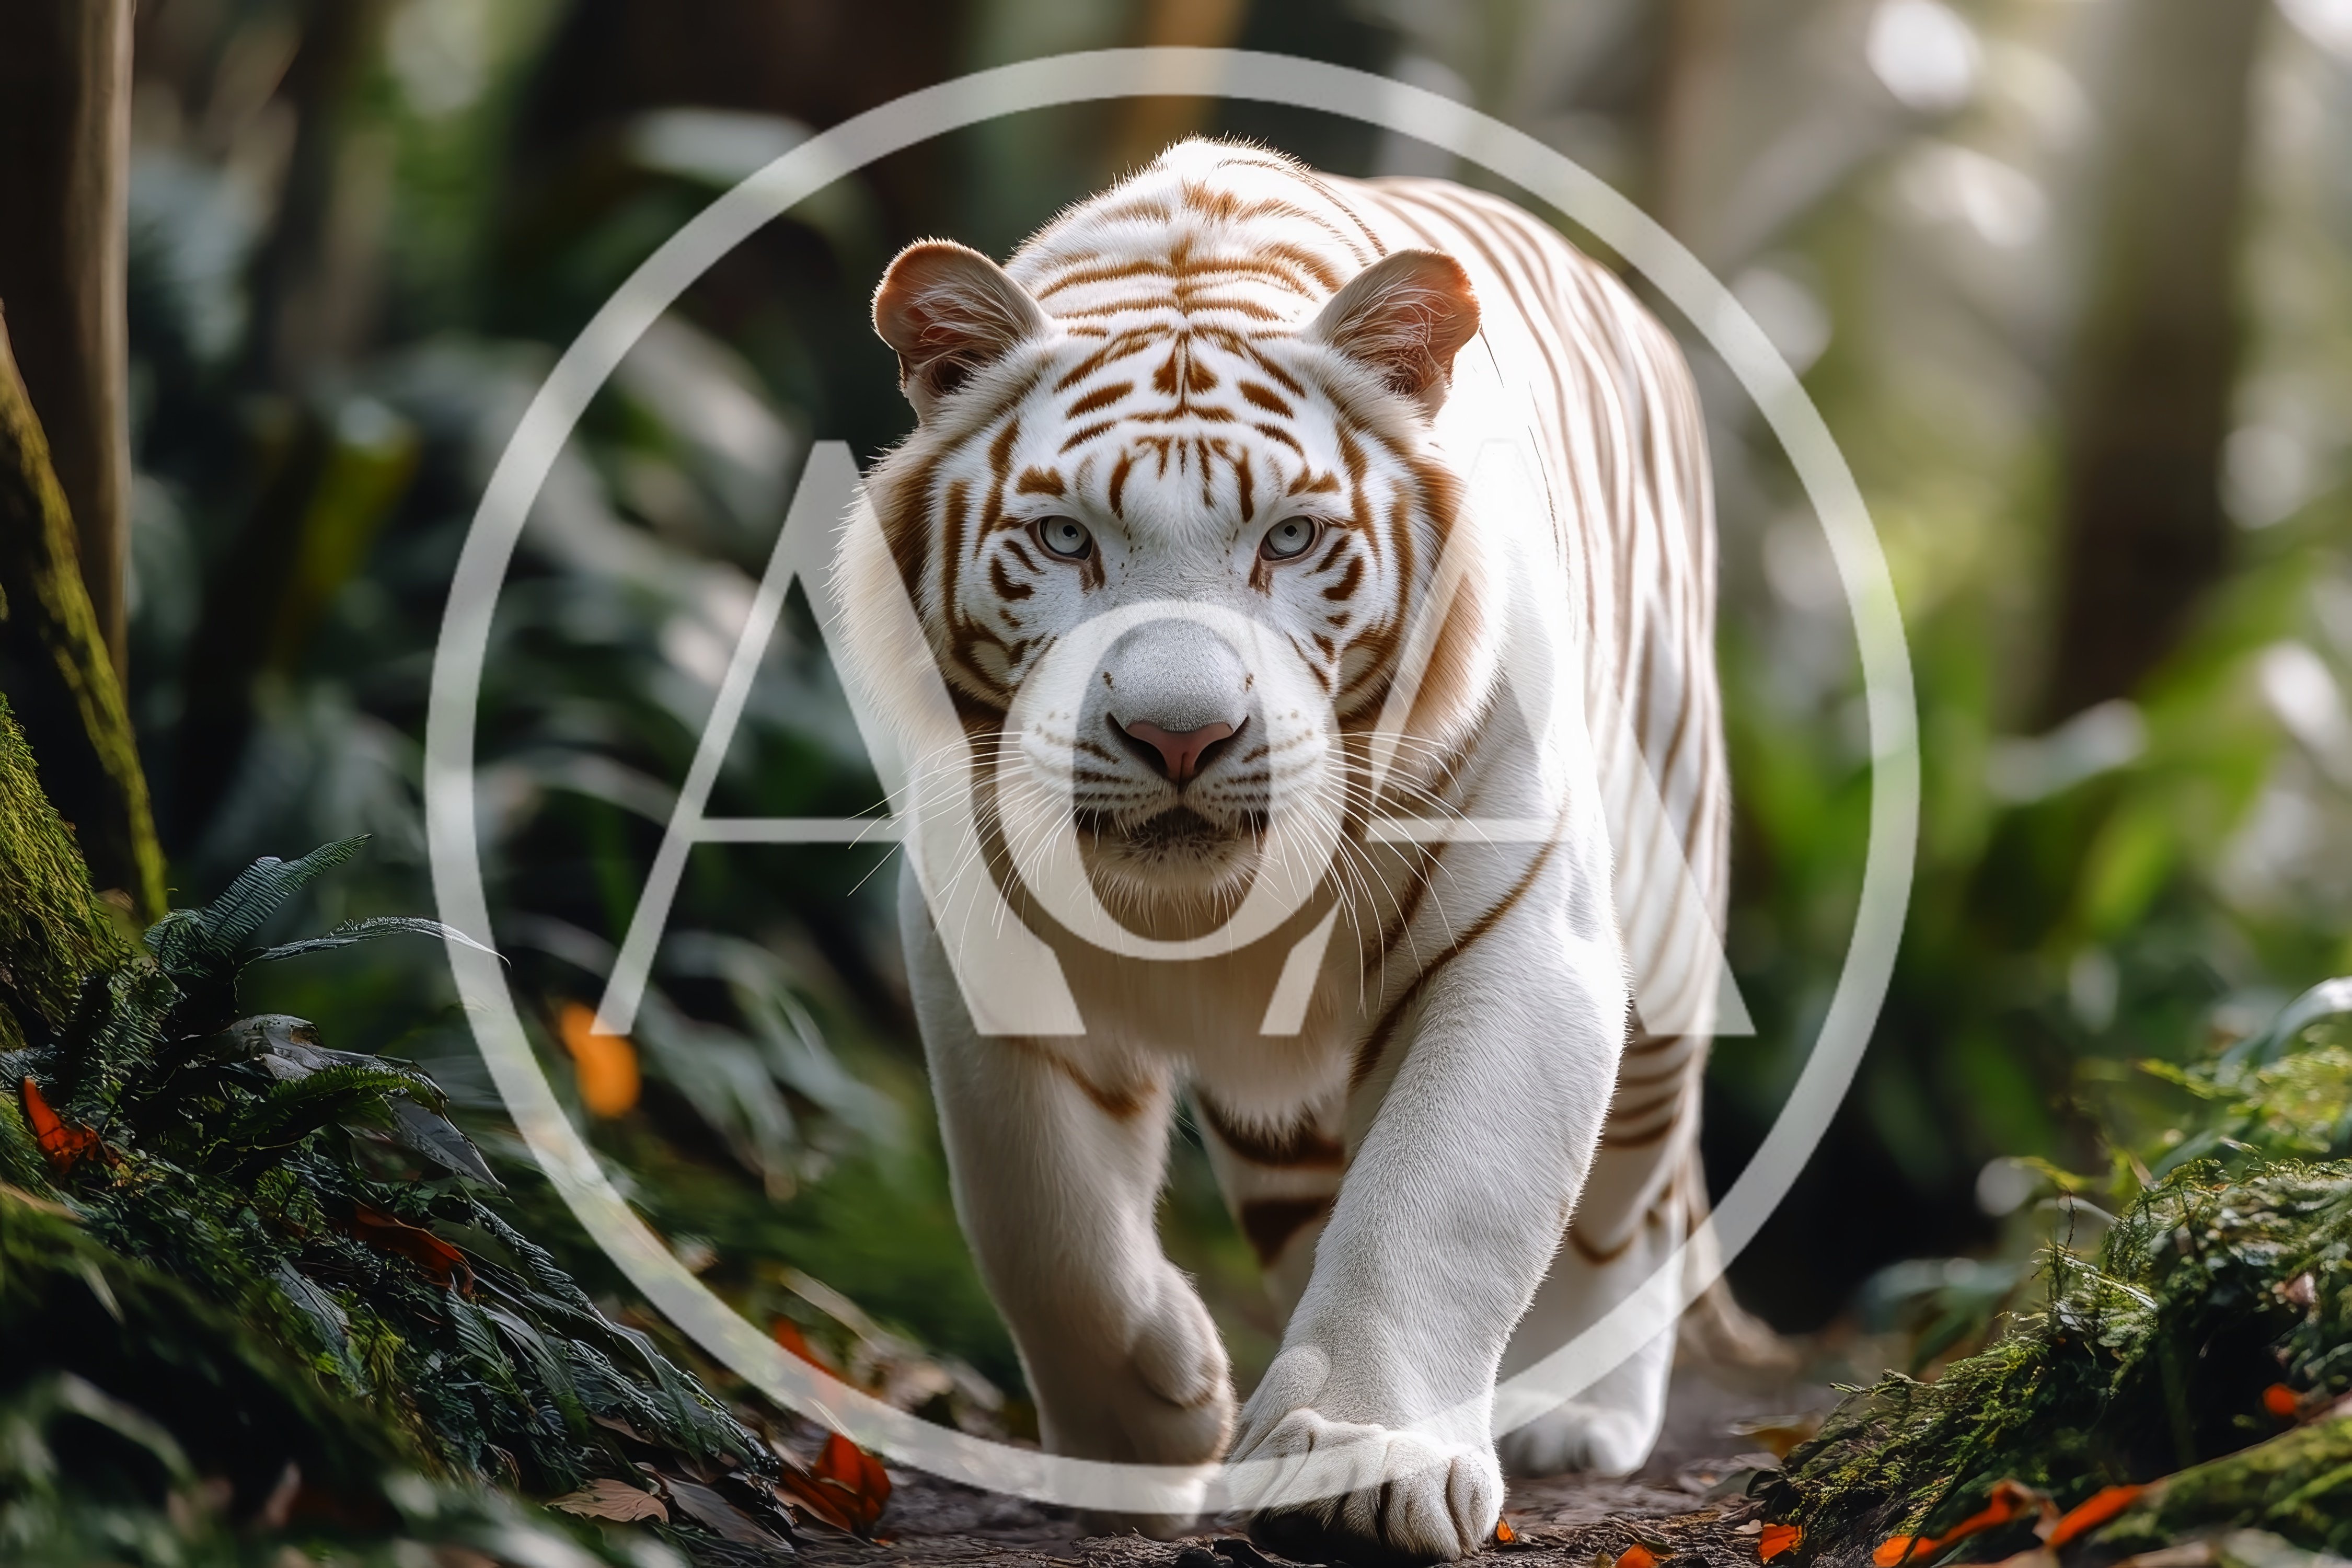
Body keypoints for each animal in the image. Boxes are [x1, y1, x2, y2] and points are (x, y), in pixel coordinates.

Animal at [833, 137, 1733, 1564]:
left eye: (1292, 540)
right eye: (1064, 538)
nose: (1178, 734)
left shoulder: (1522, 935)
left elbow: (1436, 1200)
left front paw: (1360, 1458)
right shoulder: (979, 923)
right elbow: (1031, 1207)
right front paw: (1146, 1429)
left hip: (1665, 912)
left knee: (1634, 1199)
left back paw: (1581, 1410)